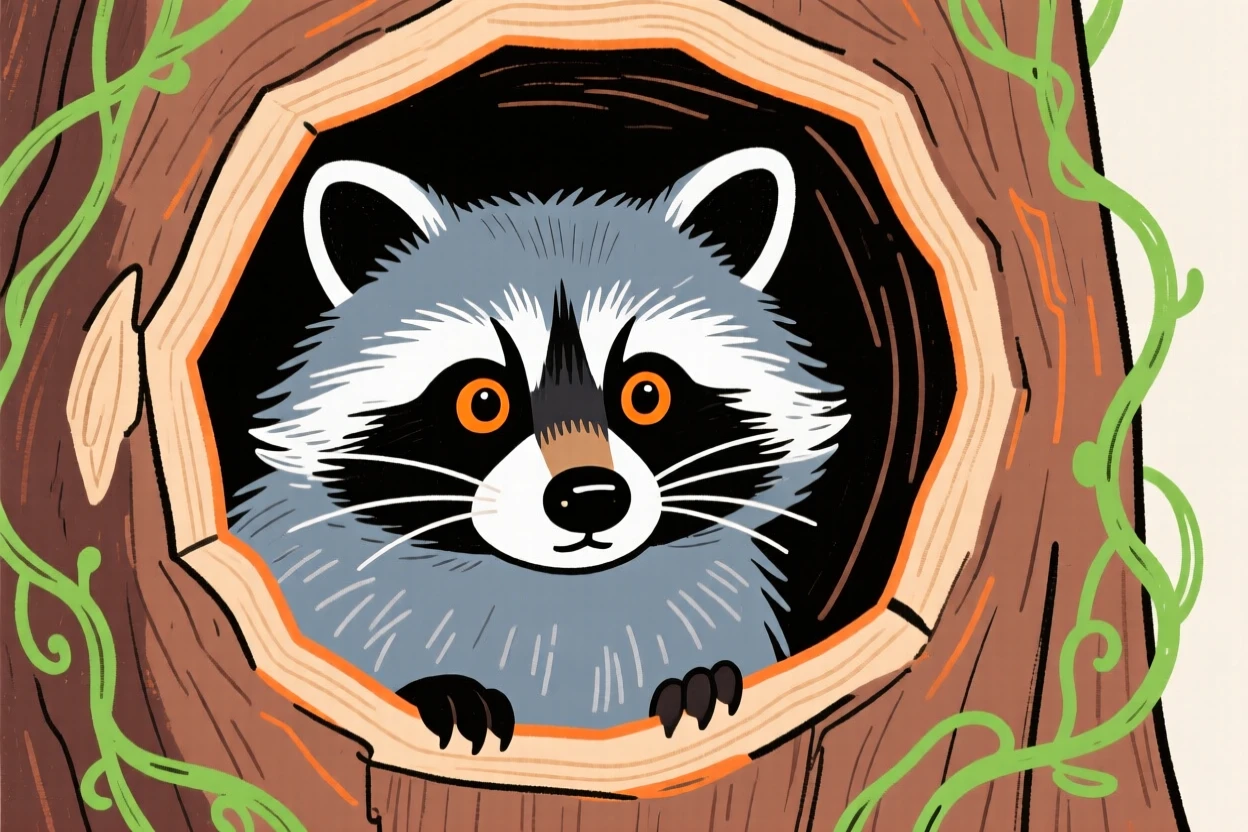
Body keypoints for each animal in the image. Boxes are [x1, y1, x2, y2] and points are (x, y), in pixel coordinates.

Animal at [228, 148, 850, 754]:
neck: (561, 593)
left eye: (646, 393)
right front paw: (443, 691)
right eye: (483, 401)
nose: (591, 497)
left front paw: (700, 683)